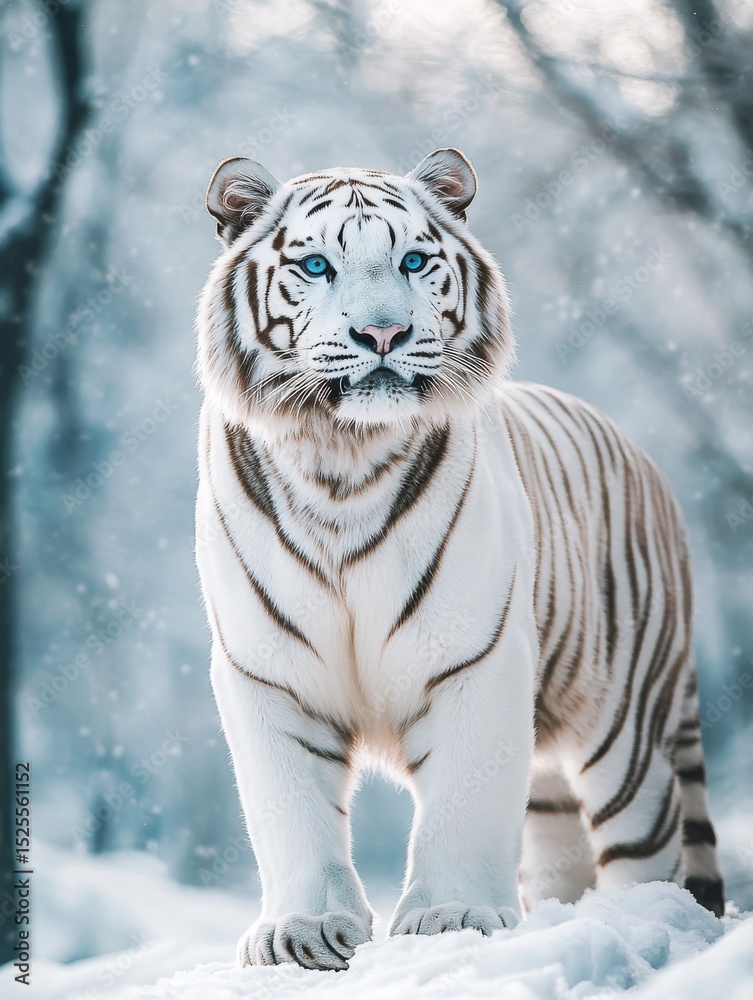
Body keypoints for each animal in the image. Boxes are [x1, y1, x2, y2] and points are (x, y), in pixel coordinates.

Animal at [194, 146, 724, 972]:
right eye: (315, 265)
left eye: (413, 261)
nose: (382, 331)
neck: (340, 462)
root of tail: (640, 453)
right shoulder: (267, 670)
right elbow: (289, 808)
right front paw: (303, 932)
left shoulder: (476, 657)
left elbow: (463, 804)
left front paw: (451, 917)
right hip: (555, 769)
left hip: (626, 727)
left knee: (646, 846)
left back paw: (642, 924)